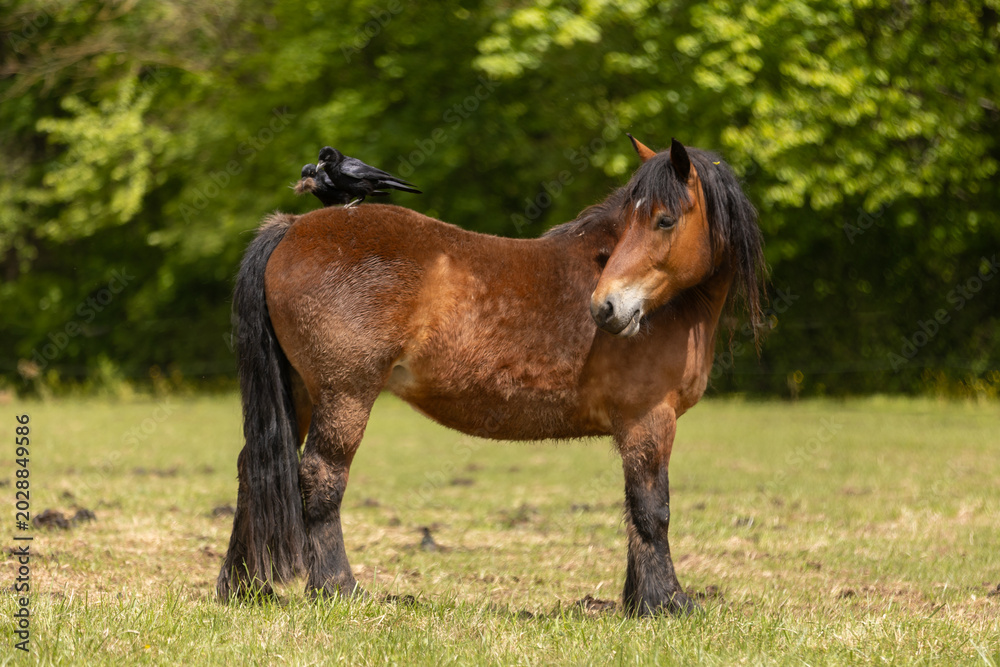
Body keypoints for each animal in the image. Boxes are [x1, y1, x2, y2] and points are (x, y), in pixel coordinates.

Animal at [217, 136, 765, 616]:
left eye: (664, 220)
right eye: (637, 218)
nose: (606, 308)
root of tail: (292, 228)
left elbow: (635, 509)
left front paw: (638, 602)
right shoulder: (649, 420)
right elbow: (653, 509)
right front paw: (667, 603)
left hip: (299, 393)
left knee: (254, 466)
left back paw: (243, 588)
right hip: (344, 395)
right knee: (321, 477)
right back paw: (337, 589)